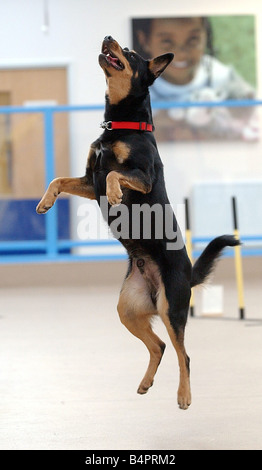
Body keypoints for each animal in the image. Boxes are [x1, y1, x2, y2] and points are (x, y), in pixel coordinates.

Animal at [36, 36, 239, 410]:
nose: (107, 38)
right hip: (127, 309)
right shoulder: (89, 181)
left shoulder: (140, 176)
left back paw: (184, 396)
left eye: (129, 54)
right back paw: (146, 382)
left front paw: (117, 195)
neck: (122, 125)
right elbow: (60, 179)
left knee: (183, 354)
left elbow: (116, 173)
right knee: (159, 346)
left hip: (172, 309)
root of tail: (186, 273)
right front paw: (45, 201)